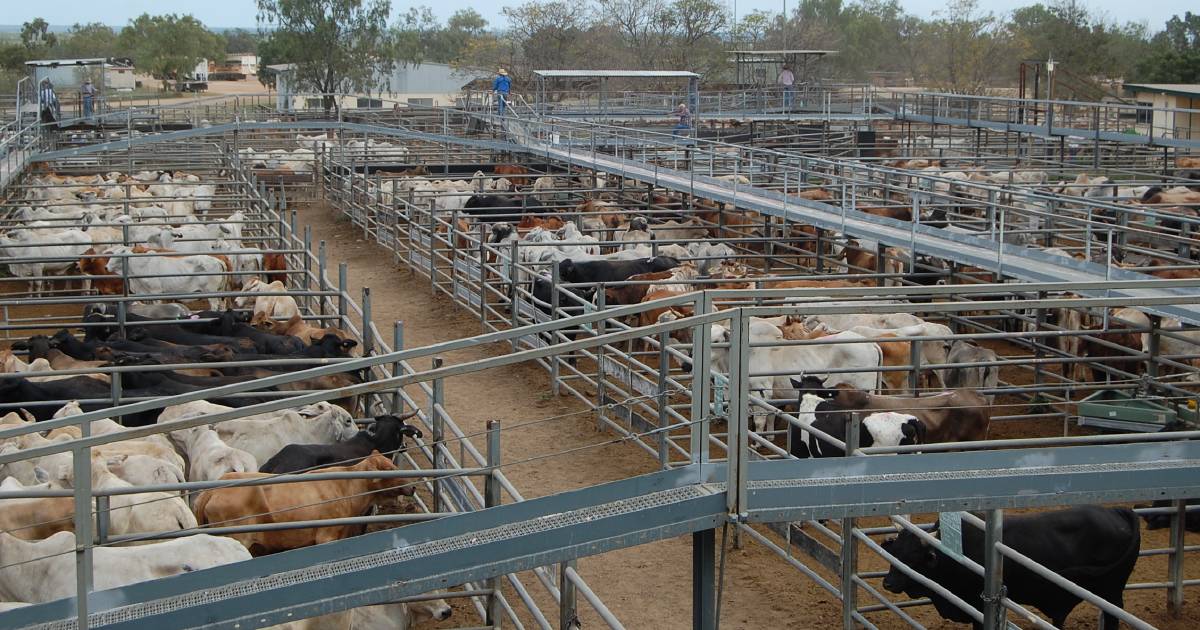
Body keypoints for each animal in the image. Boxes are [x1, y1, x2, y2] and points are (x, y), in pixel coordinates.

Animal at [883, 506, 1142, 628]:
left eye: (913, 557)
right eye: (895, 553)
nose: (887, 583)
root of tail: (1118, 511)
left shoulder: (977, 608)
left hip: (1111, 593)